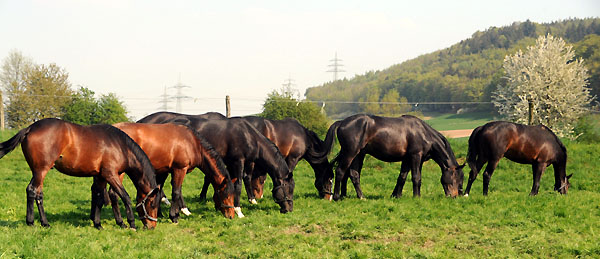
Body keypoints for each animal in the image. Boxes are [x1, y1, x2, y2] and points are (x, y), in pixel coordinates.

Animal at [0, 119, 161, 231]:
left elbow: (99, 199)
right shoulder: (110, 175)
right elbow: (125, 197)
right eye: (152, 203)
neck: (120, 145)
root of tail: (30, 128)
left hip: (37, 171)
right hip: (41, 170)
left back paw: (41, 222)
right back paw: (34, 222)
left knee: (36, 193)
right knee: (34, 191)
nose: (152, 226)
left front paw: (98, 224)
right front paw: (131, 223)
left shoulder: (101, 177)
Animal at [106, 123, 236, 224]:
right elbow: (176, 192)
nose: (231, 216)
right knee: (113, 193)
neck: (192, 143)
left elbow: (159, 190)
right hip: (120, 172)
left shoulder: (164, 171)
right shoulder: (180, 169)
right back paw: (121, 221)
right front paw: (174, 217)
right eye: (226, 196)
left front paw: (160, 213)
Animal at [137, 112, 296, 216]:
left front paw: (218, 203)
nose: (289, 209)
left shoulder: (230, 164)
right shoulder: (238, 161)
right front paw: (238, 210)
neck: (248, 136)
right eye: (288, 189)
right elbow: (238, 184)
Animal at [318, 115, 464, 202]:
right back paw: (337, 197)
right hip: (351, 153)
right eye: (456, 178)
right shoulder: (415, 156)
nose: (455, 196)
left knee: (353, 174)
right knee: (340, 171)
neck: (423, 133)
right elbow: (416, 177)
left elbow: (402, 177)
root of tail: (342, 122)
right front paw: (417, 197)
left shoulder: (408, 159)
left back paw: (359, 196)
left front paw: (396, 195)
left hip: (358, 155)